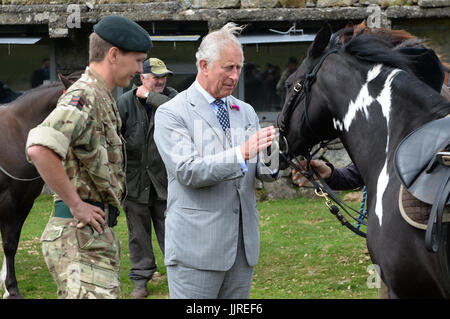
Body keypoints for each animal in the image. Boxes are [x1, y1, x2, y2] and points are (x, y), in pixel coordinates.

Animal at [0, 72, 80, 298]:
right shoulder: (6, 199)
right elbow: (8, 244)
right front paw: (12, 288)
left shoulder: (25, 201)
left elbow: (13, 241)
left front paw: (8, 287)